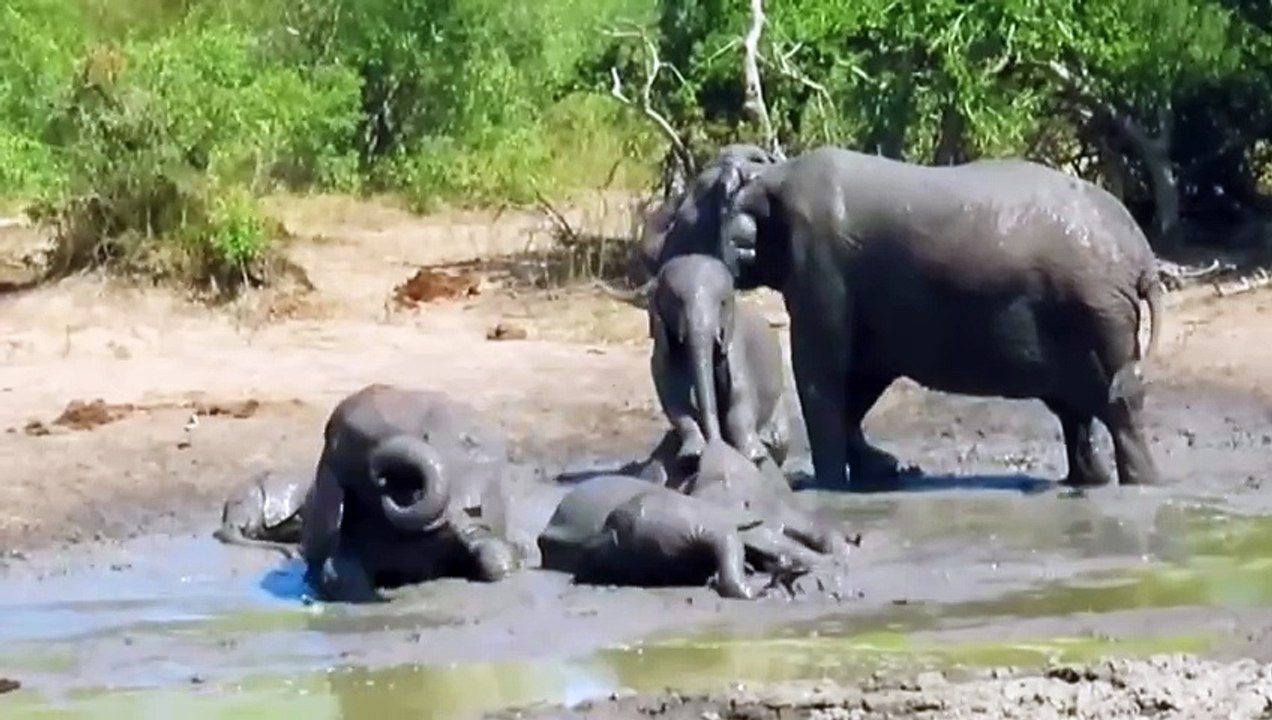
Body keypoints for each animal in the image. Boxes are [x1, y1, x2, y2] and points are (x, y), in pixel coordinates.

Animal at [649, 252, 789, 471]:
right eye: (676, 301)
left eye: (723, 303)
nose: (715, 442)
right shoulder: (661, 349)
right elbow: (676, 403)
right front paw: (692, 454)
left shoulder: (736, 344)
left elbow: (740, 398)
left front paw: (755, 456)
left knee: (780, 439)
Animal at [716, 146, 1165, 489]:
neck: (775, 177)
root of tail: (1143, 259)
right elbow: (860, 379)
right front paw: (879, 471)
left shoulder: (819, 266)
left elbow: (822, 373)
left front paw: (831, 488)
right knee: (1077, 411)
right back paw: (1090, 482)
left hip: (1097, 311)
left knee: (1117, 406)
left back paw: (1142, 485)